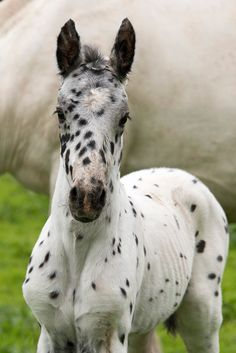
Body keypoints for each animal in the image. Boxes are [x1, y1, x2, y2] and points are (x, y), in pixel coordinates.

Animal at [23, 19, 229, 352]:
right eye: (60, 112)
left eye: (124, 117)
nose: (87, 197)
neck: (78, 251)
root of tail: (182, 175)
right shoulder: (50, 334)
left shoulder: (108, 335)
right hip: (141, 327)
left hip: (202, 318)